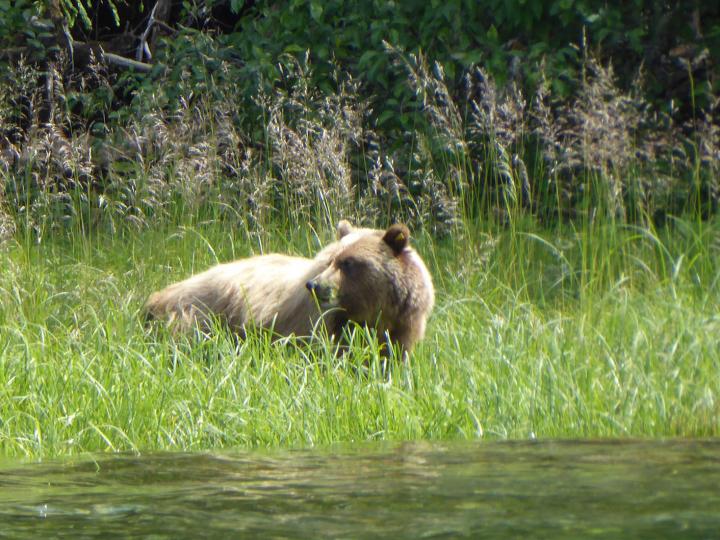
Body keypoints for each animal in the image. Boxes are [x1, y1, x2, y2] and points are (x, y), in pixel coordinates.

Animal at [143, 220, 430, 354]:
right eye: (330, 260)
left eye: (348, 262)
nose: (314, 285)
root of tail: (156, 296)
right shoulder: (318, 325)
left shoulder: (403, 327)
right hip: (201, 313)